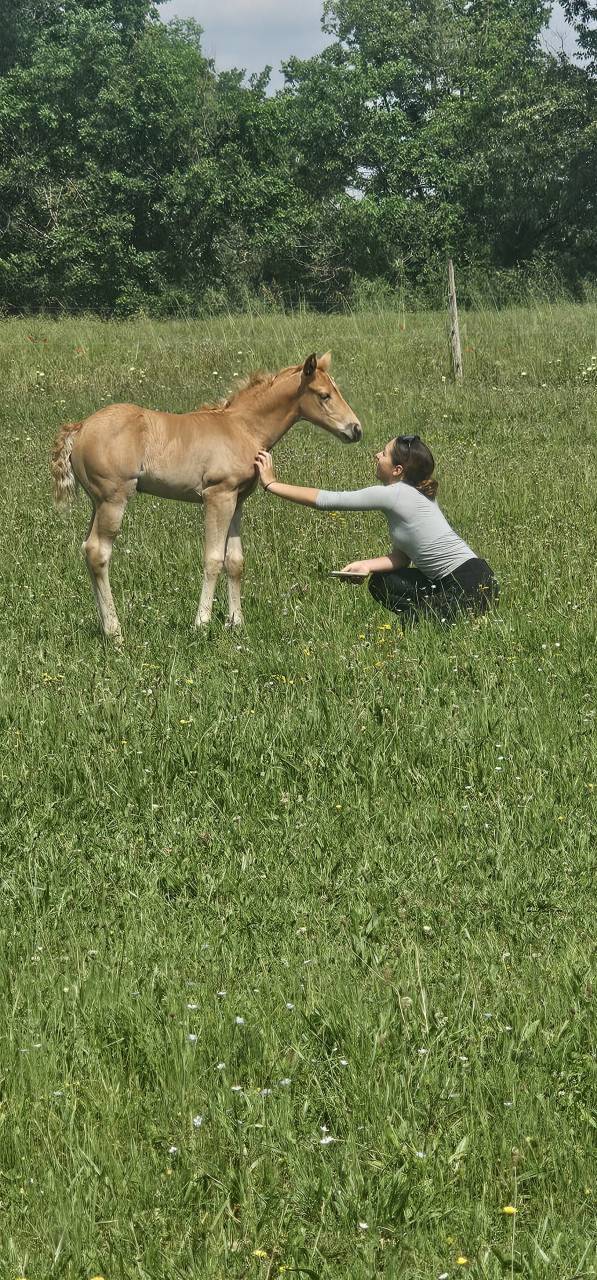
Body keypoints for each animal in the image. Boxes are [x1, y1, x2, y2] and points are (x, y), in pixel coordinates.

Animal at [50, 352, 361, 638]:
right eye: (324, 395)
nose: (356, 429)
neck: (243, 428)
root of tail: (80, 428)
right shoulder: (217, 495)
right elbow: (213, 559)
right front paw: (202, 623)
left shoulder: (236, 500)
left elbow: (235, 561)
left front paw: (236, 623)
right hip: (113, 499)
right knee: (98, 552)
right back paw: (115, 632)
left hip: (97, 502)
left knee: (87, 549)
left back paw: (105, 625)